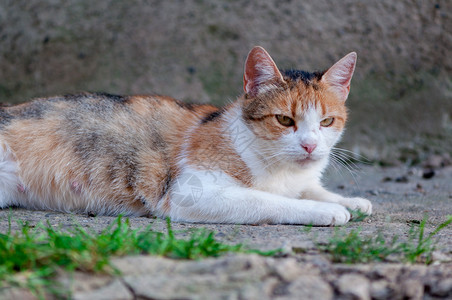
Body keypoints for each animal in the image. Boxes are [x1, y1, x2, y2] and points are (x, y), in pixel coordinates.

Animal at [0, 47, 370, 225]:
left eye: (327, 121)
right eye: (284, 119)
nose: (309, 145)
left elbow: (311, 189)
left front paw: (350, 201)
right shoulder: (189, 193)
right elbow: (270, 200)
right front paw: (324, 210)